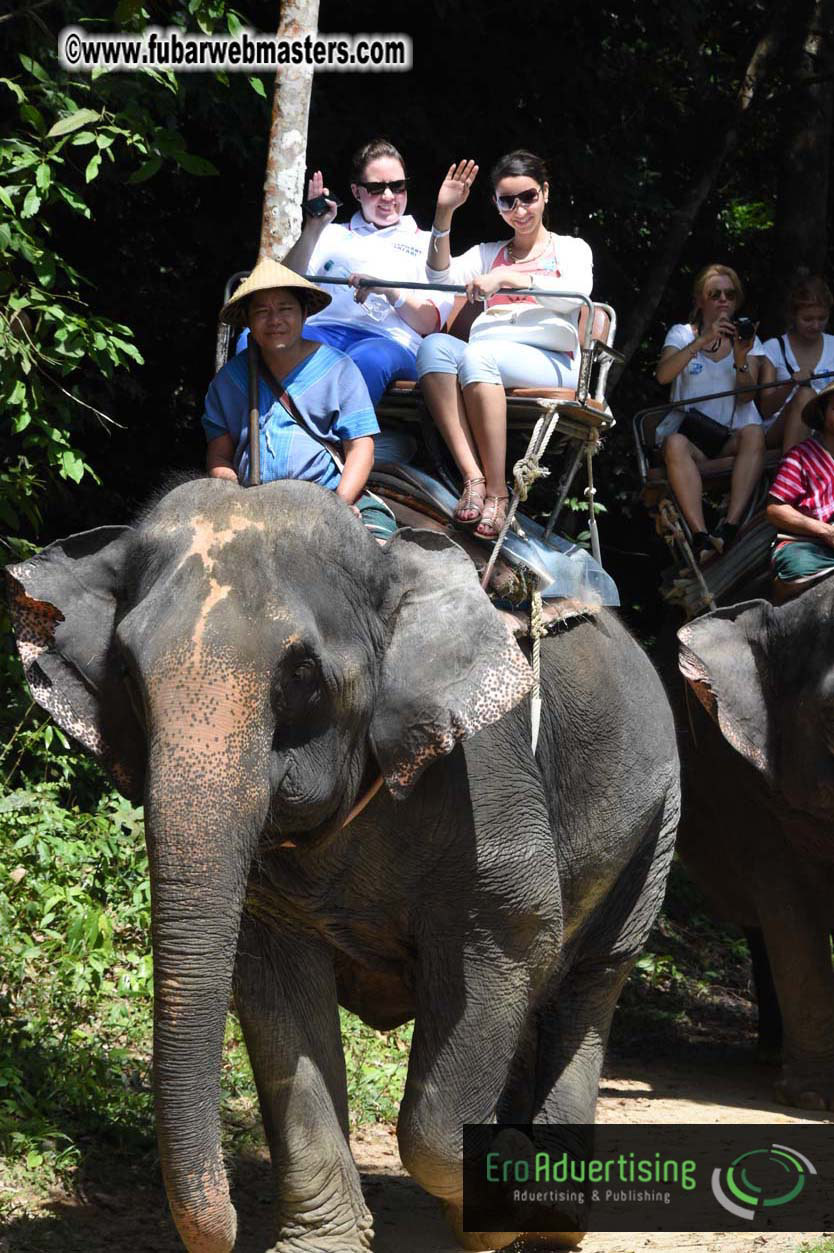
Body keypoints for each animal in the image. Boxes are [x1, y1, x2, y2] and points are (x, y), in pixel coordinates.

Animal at [6, 478, 679, 1253]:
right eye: (125, 671)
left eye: (301, 674)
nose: (227, 1225)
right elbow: (278, 995)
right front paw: (327, 1243)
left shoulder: (489, 779)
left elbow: (511, 941)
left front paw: (509, 1184)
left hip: (659, 820)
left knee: (592, 982)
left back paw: (554, 1217)